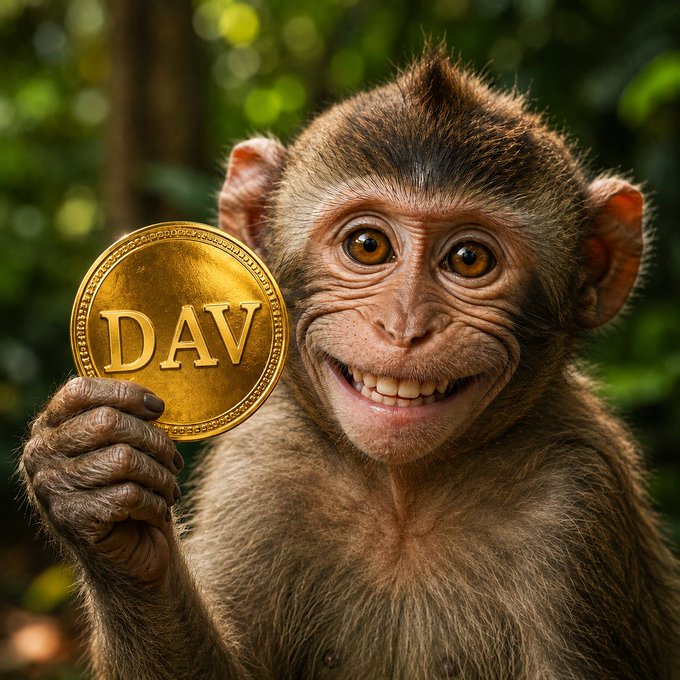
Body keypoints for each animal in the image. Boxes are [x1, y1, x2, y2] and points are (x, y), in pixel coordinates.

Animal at [21, 47, 680, 679]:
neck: (402, 501)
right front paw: (94, 499)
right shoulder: (260, 470)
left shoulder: (579, 507)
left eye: (469, 258)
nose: (404, 325)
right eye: (368, 246)